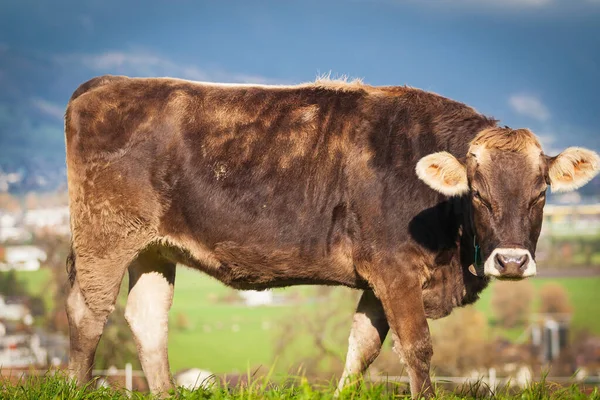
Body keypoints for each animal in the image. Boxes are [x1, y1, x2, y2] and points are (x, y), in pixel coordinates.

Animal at [63, 75, 596, 396]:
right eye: (478, 194)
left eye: (541, 193)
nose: (511, 261)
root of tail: (109, 82)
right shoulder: (395, 270)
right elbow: (417, 347)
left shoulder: (380, 282)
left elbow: (362, 347)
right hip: (104, 238)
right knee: (88, 313)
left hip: (153, 248)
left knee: (148, 319)